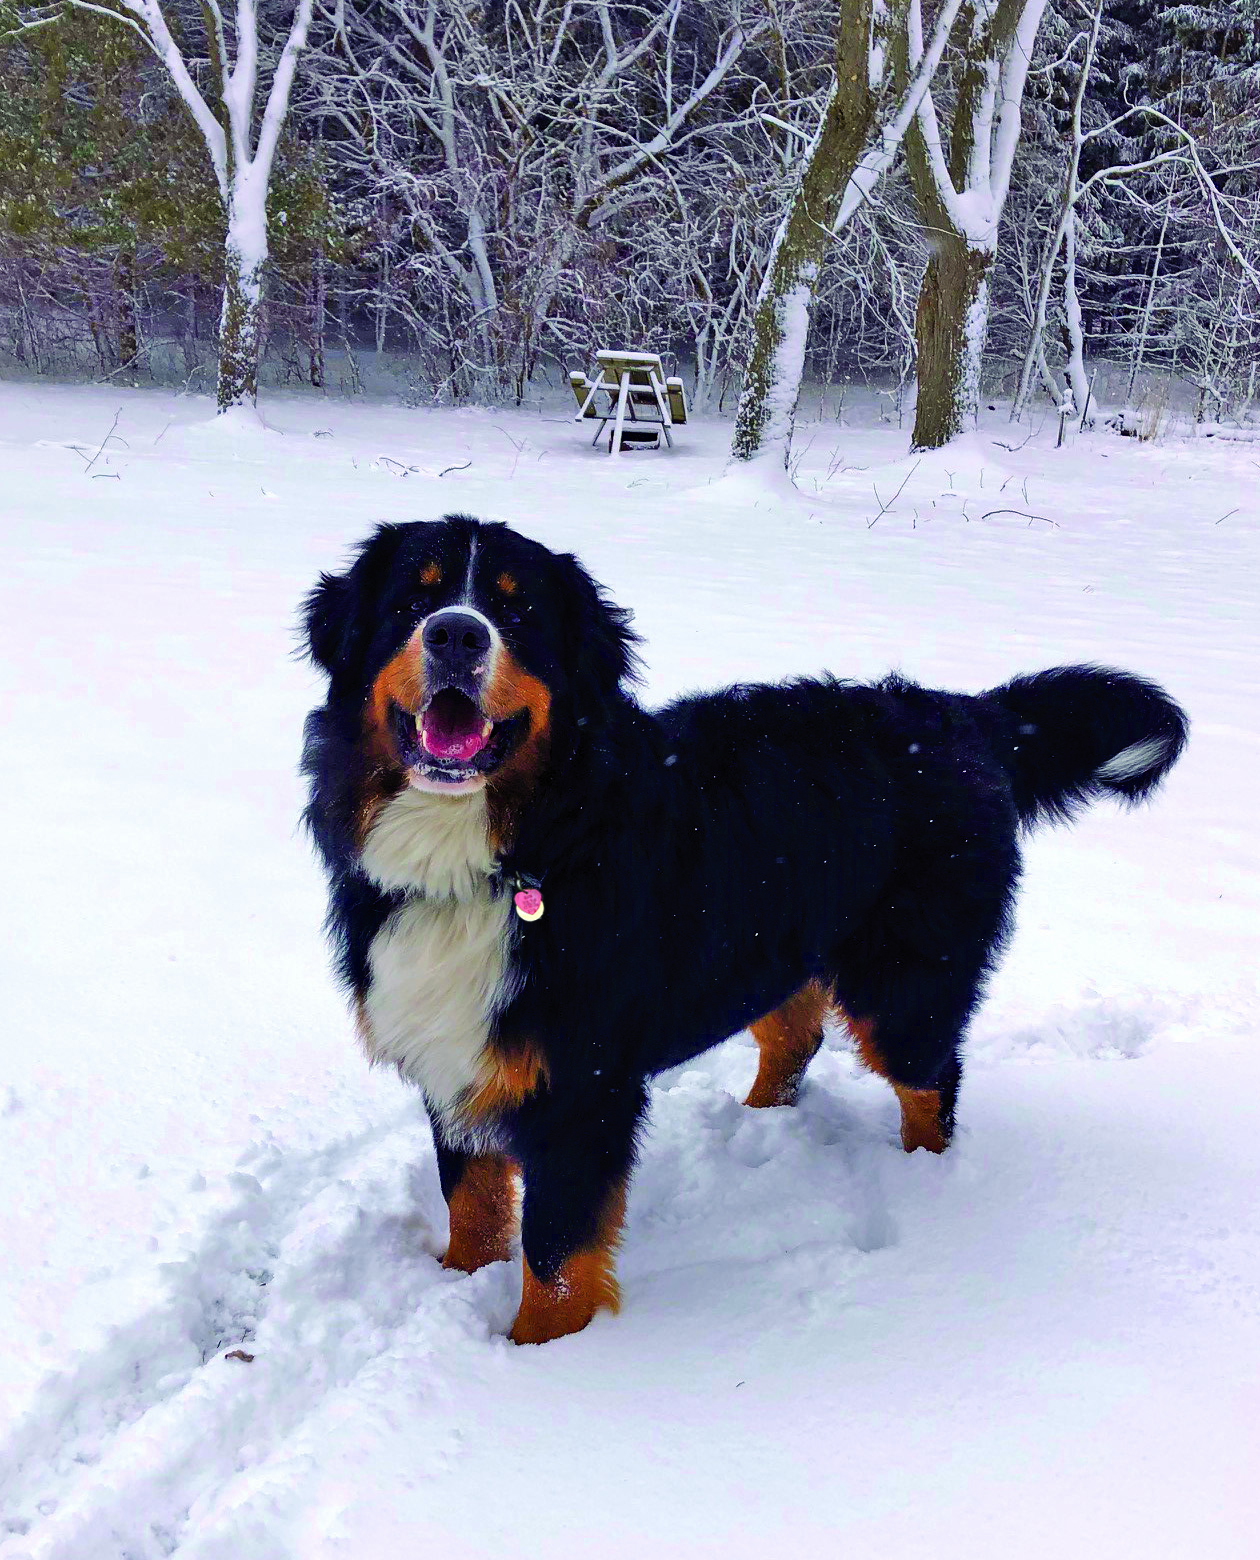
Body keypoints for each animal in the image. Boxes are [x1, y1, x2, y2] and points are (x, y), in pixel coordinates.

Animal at [300, 511, 1185, 1341]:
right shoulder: (455, 1054)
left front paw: (540, 1362)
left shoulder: (580, 1088)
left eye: (518, 614)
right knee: (797, 1037)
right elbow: (473, 1202)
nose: (455, 633)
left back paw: (923, 1184)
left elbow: (555, 1258)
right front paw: (460, 1286)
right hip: (773, 946)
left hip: (905, 984)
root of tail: (960, 714)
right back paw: (762, 1121)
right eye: (413, 600)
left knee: (931, 1078)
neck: (514, 851)